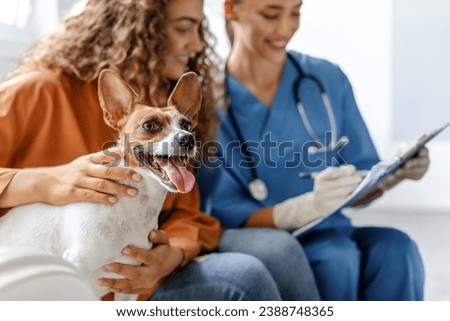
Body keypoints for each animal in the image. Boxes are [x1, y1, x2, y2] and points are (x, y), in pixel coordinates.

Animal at [0, 70, 202, 300]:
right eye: (149, 125)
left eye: (187, 125)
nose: (188, 139)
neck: (134, 206)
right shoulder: (76, 268)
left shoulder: (129, 285)